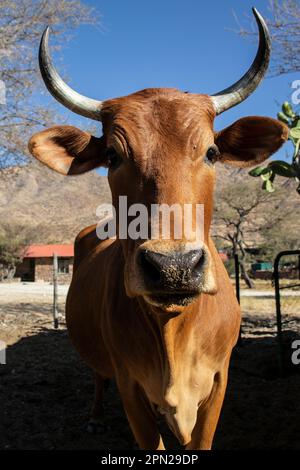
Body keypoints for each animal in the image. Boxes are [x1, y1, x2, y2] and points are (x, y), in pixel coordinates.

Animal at [28, 8, 288, 448]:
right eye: (112, 156)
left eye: (212, 152)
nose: (174, 267)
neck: (174, 333)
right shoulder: (132, 389)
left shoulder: (218, 384)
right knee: (97, 377)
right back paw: (95, 416)